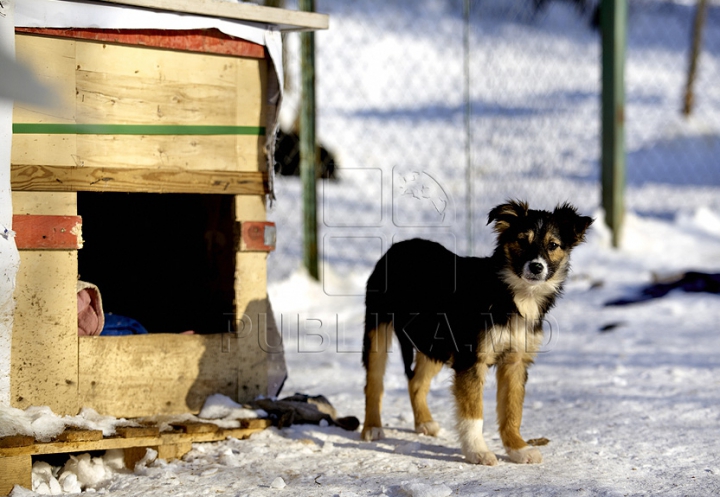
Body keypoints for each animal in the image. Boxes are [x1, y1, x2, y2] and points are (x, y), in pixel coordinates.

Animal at [360, 200, 592, 464]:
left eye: (553, 245)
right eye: (522, 240)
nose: (536, 267)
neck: (513, 294)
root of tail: (397, 247)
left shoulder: (515, 361)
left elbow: (513, 410)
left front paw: (518, 448)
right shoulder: (471, 359)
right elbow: (473, 414)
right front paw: (478, 452)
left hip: (434, 343)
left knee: (416, 382)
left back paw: (424, 423)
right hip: (378, 330)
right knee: (374, 382)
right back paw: (372, 427)